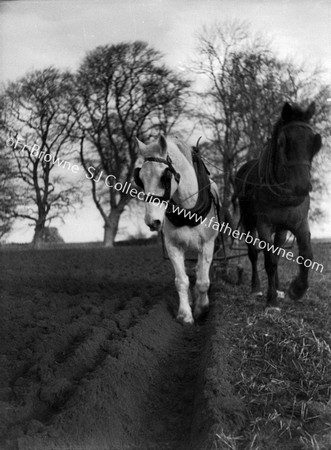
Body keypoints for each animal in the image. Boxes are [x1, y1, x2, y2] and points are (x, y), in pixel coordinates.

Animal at [135, 134, 223, 324]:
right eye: (140, 179)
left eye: (164, 177)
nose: (152, 221)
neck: (188, 209)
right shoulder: (173, 246)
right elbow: (181, 281)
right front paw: (185, 315)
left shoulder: (207, 245)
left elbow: (203, 281)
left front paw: (201, 309)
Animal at [236, 103, 324, 310]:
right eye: (283, 142)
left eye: (315, 143)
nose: (302, 186)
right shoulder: (264, 225)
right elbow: (268, 261)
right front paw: (271, 301)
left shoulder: (300, 223)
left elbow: (306, 256)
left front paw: (296, 289)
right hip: (248, 221)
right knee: (253, 254)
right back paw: (256, 288)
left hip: (282, 229)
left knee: (277, 252)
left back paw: (277, 287)